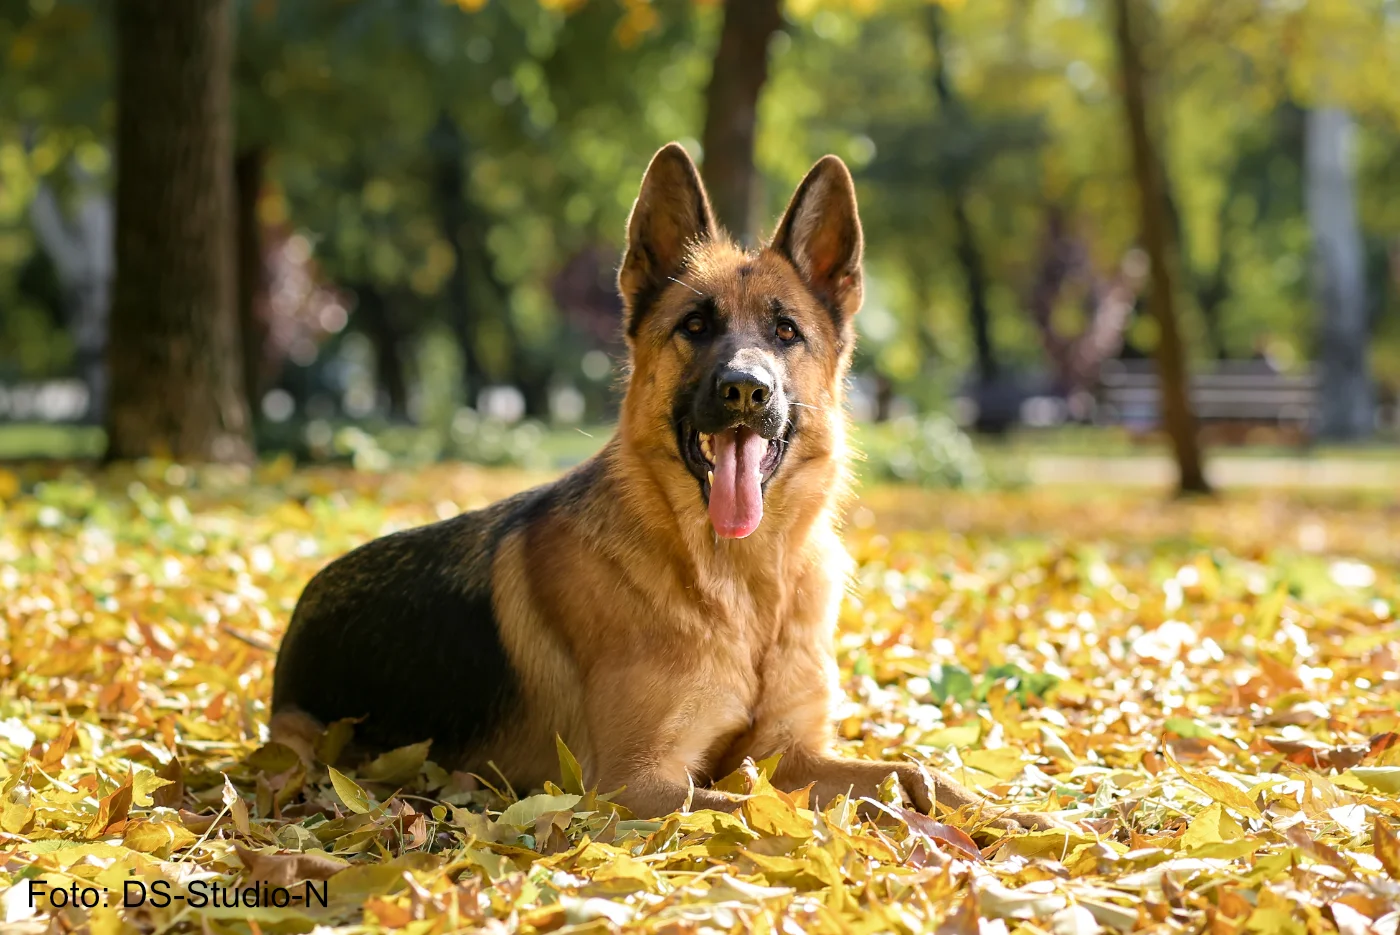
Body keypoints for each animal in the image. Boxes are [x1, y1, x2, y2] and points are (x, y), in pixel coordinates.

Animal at [270, 146, 1052, 834]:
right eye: (695, 325)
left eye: (786, 331)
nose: (745, 390)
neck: (743, 588)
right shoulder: (639, 786)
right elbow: (825, 809)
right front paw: (912, 825)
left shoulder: (790, 753)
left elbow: (918, 770)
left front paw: (1008, 814)